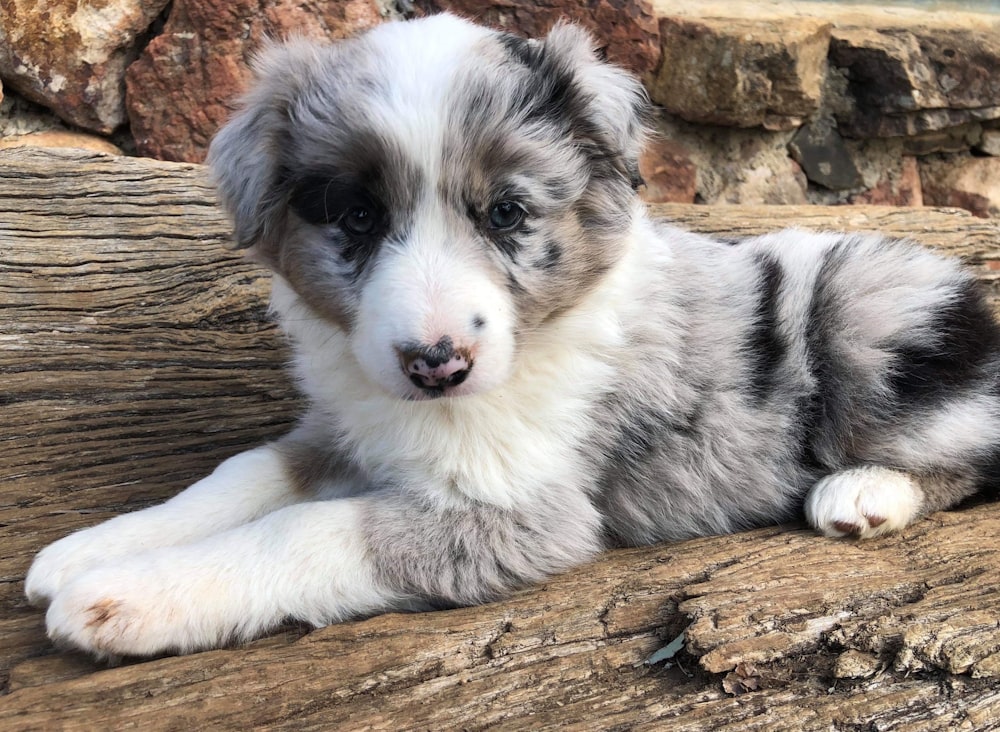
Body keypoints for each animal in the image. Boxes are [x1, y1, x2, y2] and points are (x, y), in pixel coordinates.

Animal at [23, 12, 1000, 656]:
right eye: (357, 215)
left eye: (506, 213)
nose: (436, 364)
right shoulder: (346, 423)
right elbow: (245, 474)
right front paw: (92, 547)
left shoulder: (520, 513)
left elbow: (303, 532)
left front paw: (124, 597)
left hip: (868, 304)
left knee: (969, 453)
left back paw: (864, 494)